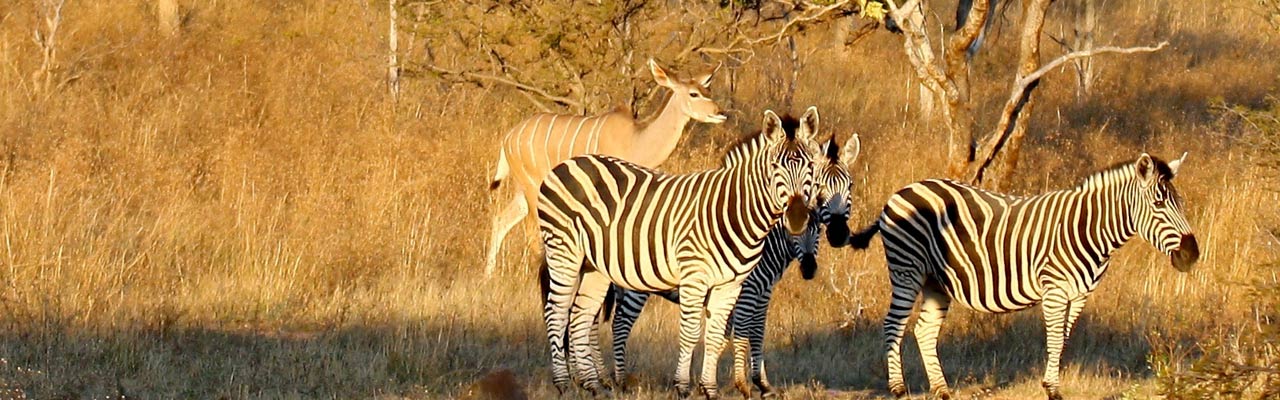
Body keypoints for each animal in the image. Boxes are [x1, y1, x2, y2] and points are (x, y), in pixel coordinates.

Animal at [483, 58, 727, 274]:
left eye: (707, 90)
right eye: (694, 93)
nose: (720, 113)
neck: (636, 140)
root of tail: (509, 137)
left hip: (523, 190)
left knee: (501, 220)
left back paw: (489, 275)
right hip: (533, 187)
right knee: (533, 232)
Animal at [537, 107, 819, 397]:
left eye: (810, 166)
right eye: (774, 167)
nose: (797, 218)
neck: (736, 212)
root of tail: (569, 162)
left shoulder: (731, 286)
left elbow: (716, 337)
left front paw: (710, 389)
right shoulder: (703, 280)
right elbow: (697, 333)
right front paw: (685, 386)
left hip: (595, 267)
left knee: (580, 317)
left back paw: (593, 385)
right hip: (565, 252)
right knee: (559, 314)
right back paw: (567, 383)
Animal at [606, 135, 865, 400]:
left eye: (850, 185)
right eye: (820, 188)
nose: (810, 269)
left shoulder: (762, 292)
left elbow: (744, 333)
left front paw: (739, 383)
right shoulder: (748, 291)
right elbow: (743, 332)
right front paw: (744, 384)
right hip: (635, 286)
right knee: (620, 325)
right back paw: (620, 382)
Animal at [844, 153, 1192, 400]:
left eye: (1180, 202)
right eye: (1159, 204)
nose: (1192, 254)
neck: (1089, 228)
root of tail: (900, 192)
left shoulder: (1080, 293)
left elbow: (1062, 337)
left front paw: (1050, 383)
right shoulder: (1054, 289)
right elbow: (1055, 337)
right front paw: (1053, 390)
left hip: (935, 280)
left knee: (925, 330)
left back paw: (942, 391)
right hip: (907, 268)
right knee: (893, 325)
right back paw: (899, 389)